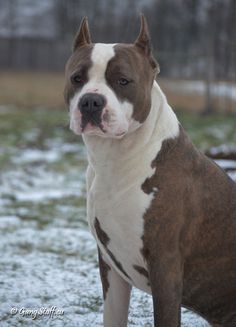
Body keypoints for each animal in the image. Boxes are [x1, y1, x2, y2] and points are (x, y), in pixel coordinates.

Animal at [64, 14, 236, 326]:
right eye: (77, 78)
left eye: (123, 80)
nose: (91, 101)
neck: (115, 159)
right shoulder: (110, 267)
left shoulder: (165, 268)